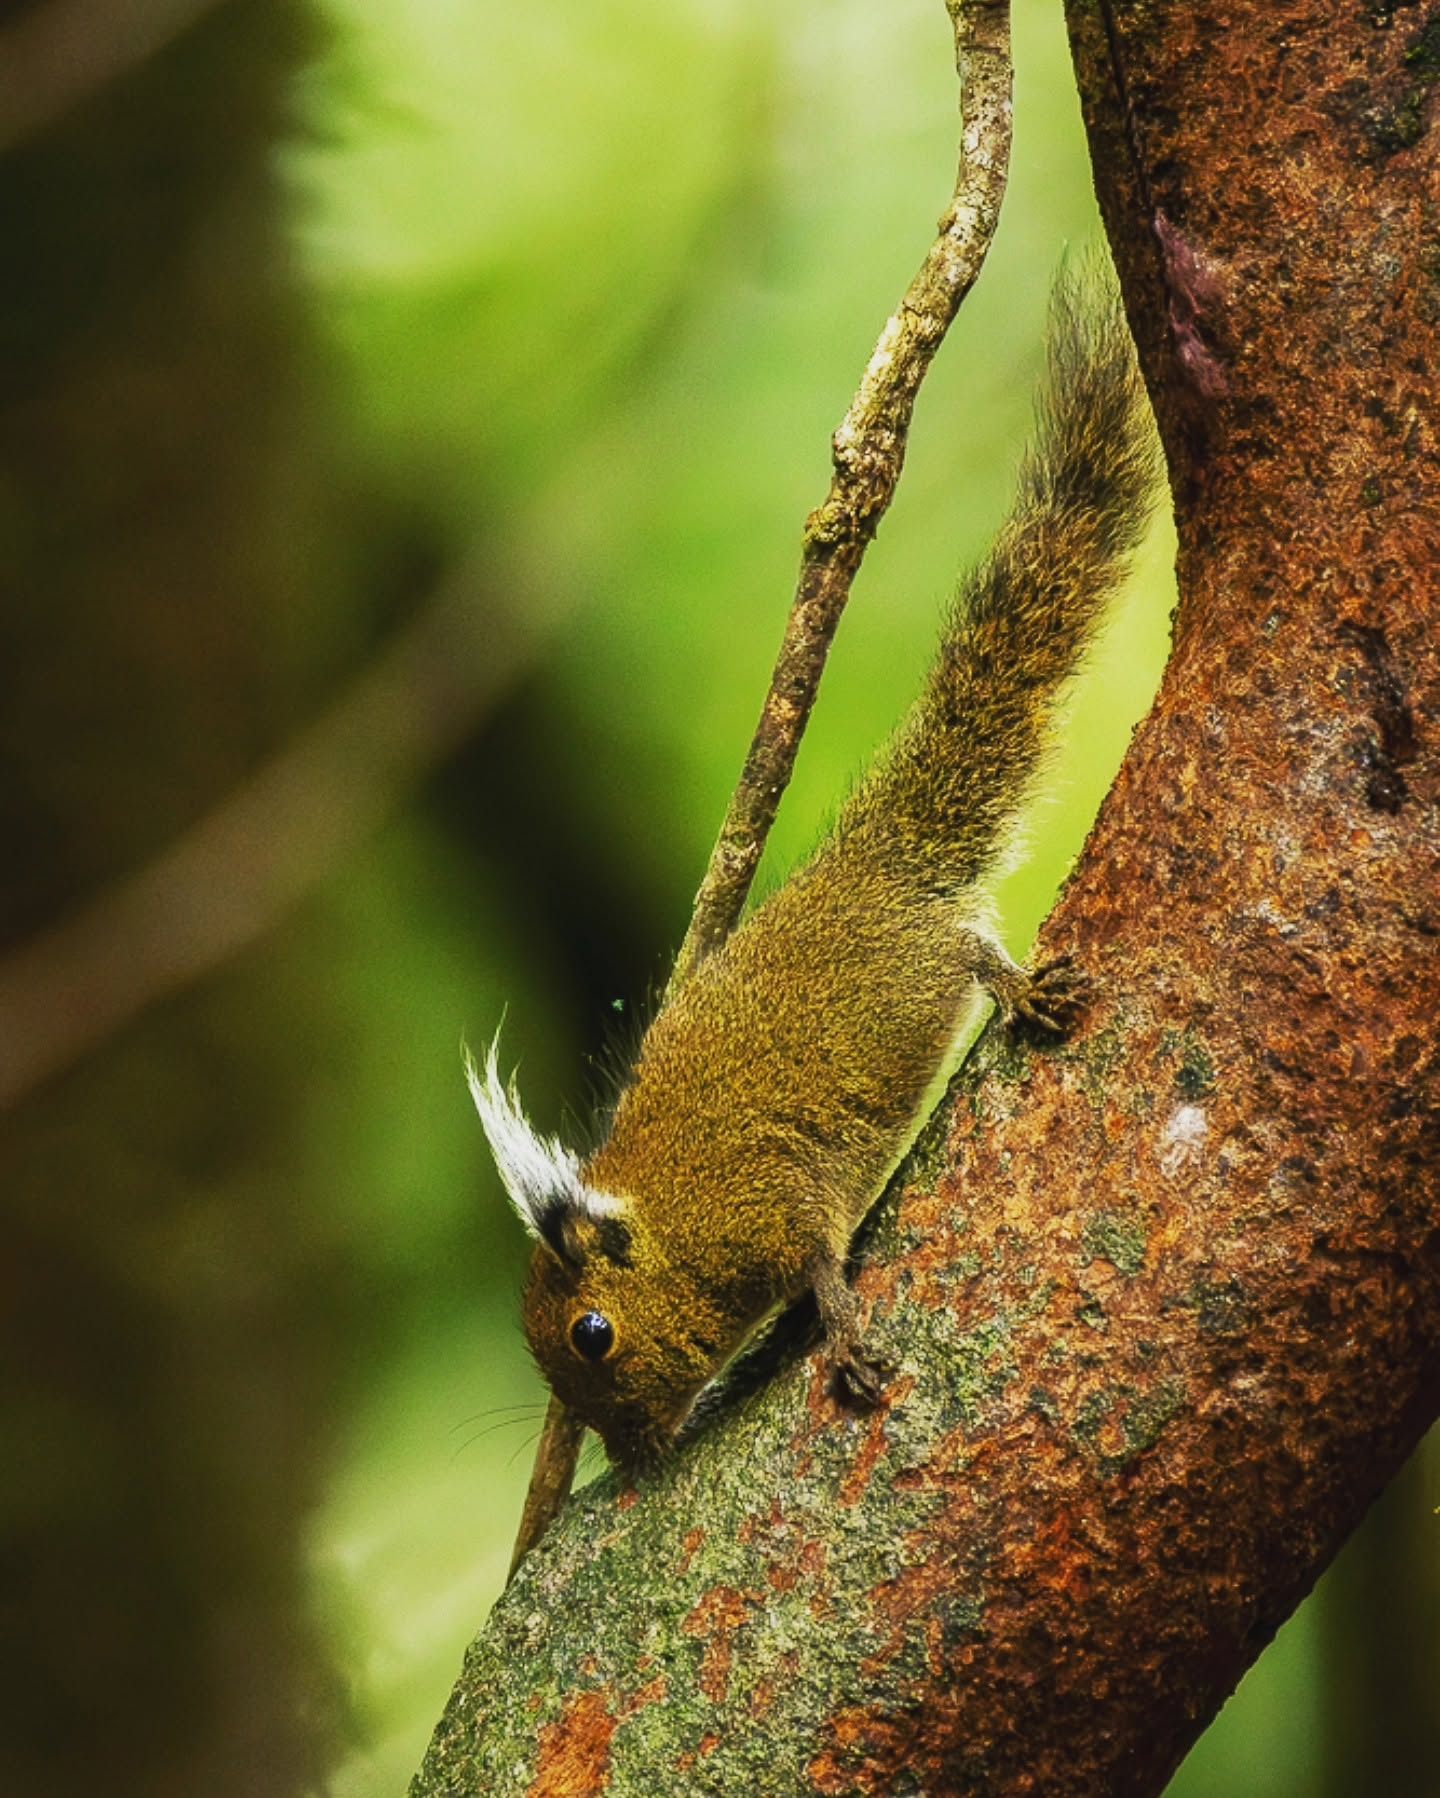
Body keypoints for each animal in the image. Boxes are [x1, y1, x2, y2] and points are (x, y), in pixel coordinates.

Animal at [469, 266, 1158, 1473]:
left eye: (592, 1334)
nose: (634, 1454)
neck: (676, 1225)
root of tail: (883, 855)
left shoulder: (775, 1203)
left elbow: (826, 1266)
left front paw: (838, 1335)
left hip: (920, 961)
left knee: (971, 948)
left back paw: (1025, 990)